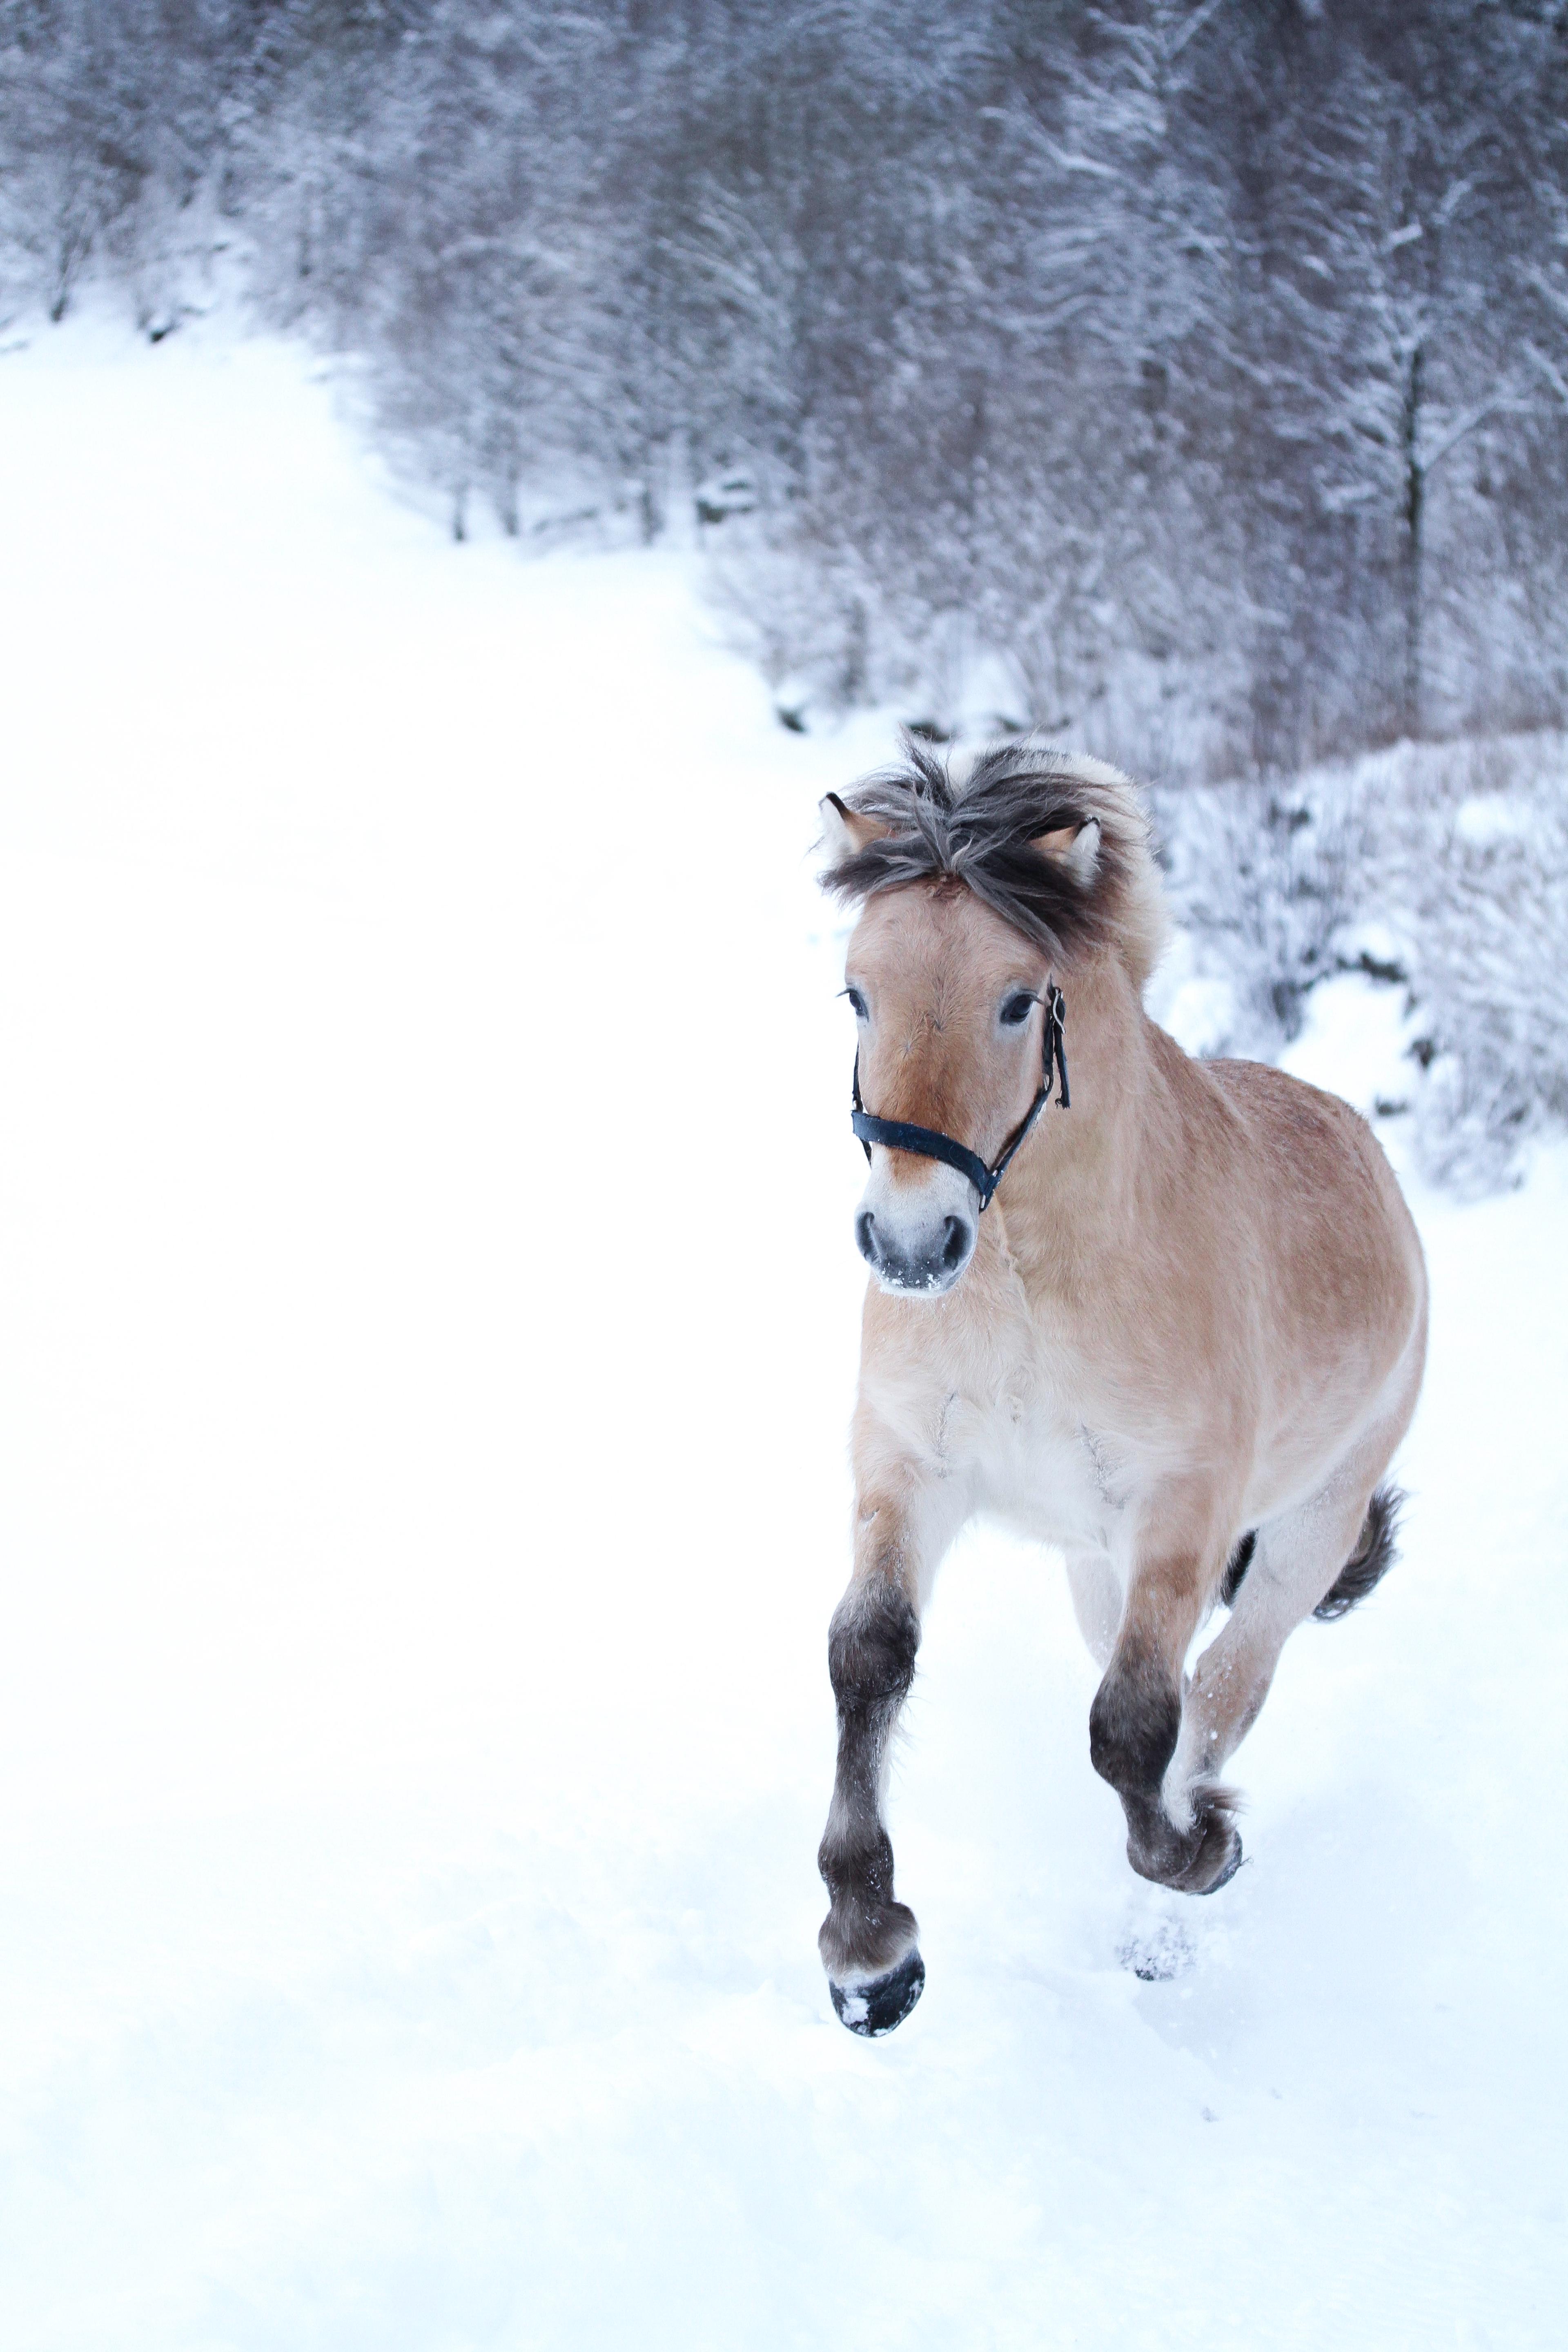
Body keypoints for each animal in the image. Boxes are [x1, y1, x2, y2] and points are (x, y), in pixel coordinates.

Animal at [814, 738, 1428, 2037]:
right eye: (857, 993)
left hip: (1304, 1534)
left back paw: (1168, 1915)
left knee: (1223, 1692)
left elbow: (1135, 1727)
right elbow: (870, 1657)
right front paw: (871, 1952)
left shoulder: (1182, 1509)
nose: (911, 1244)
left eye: (1014, 999)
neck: (1030, 1285)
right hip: (1095, 1565)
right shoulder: (907, 1466)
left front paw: (1199, 1853)